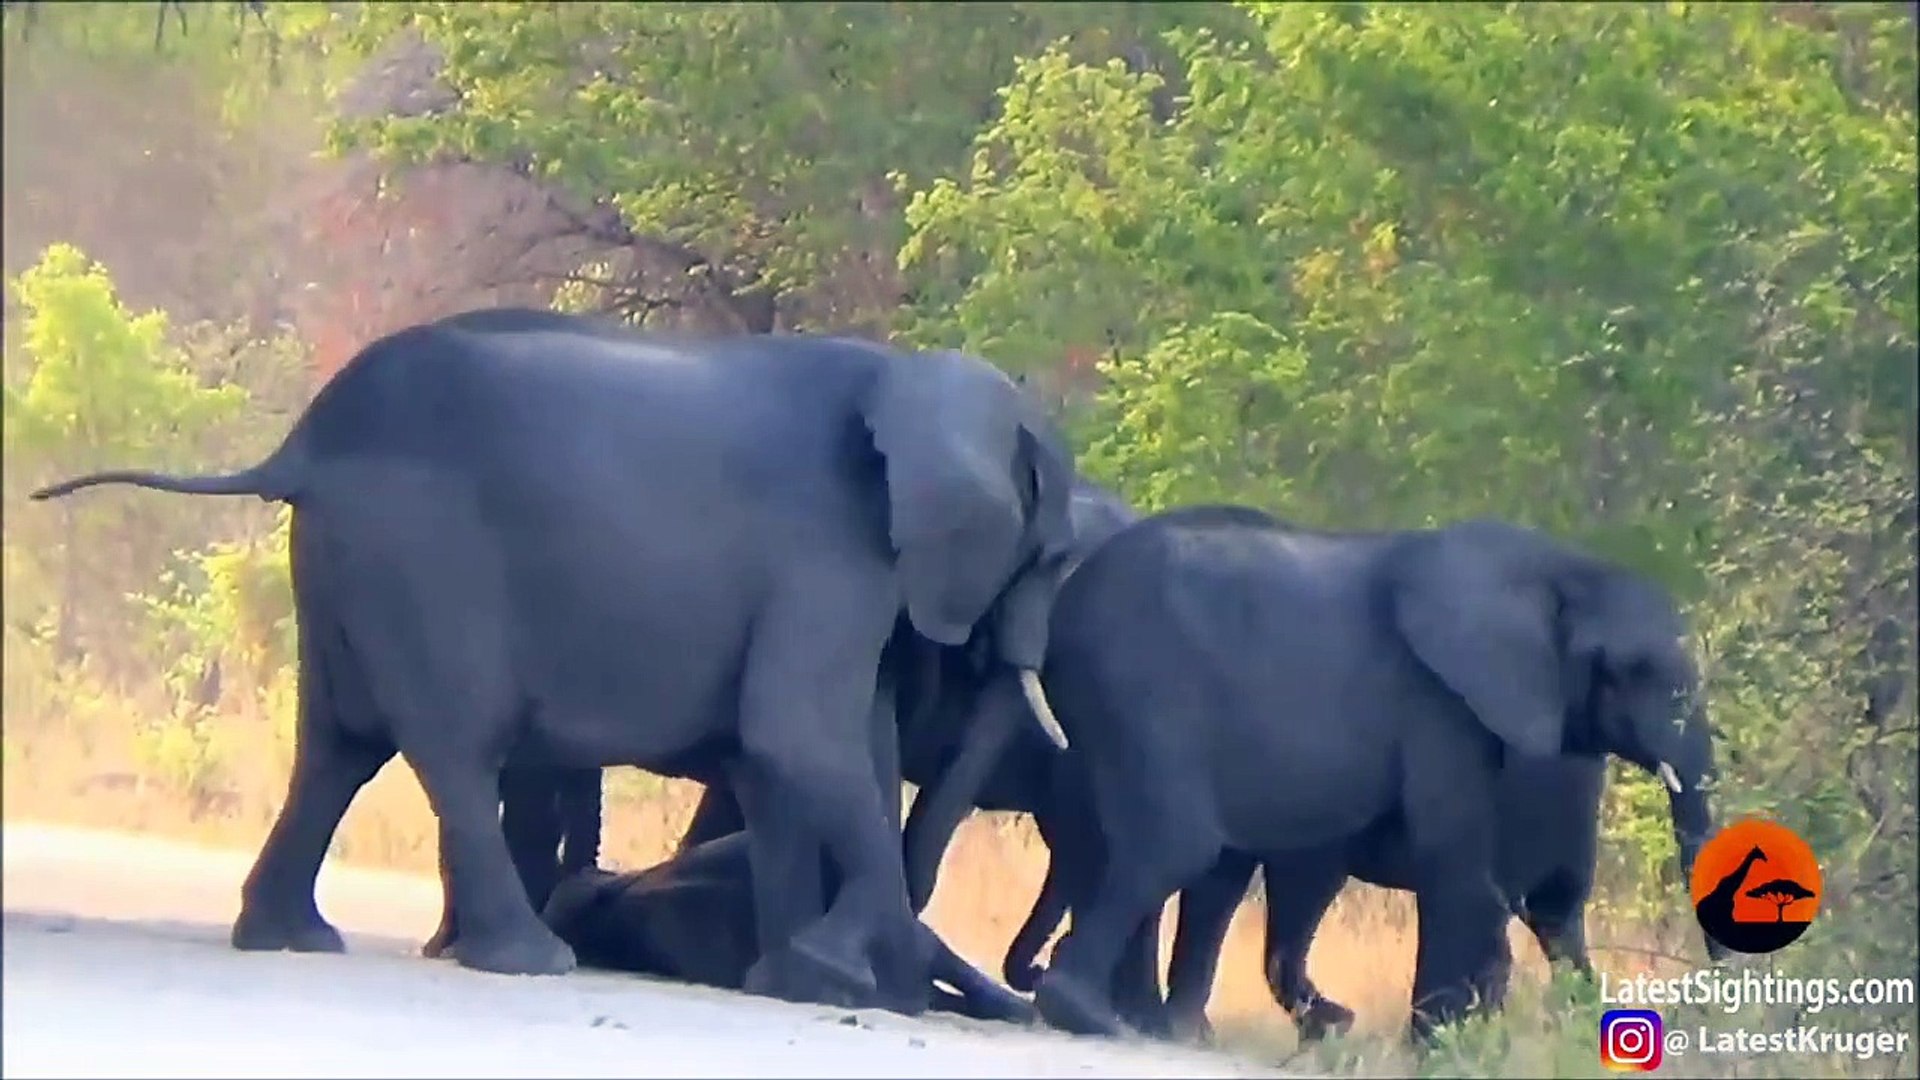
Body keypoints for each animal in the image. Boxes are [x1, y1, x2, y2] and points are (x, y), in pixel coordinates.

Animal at [1022, 505, 1717, 1043]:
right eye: (1632, 669)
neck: (1561, 568)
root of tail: (1069, 600)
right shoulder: (1440, 705)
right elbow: (1455, 864)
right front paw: (1439, 1050)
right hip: (1141, 687)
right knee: (1176, 845)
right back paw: (1093, 1017)